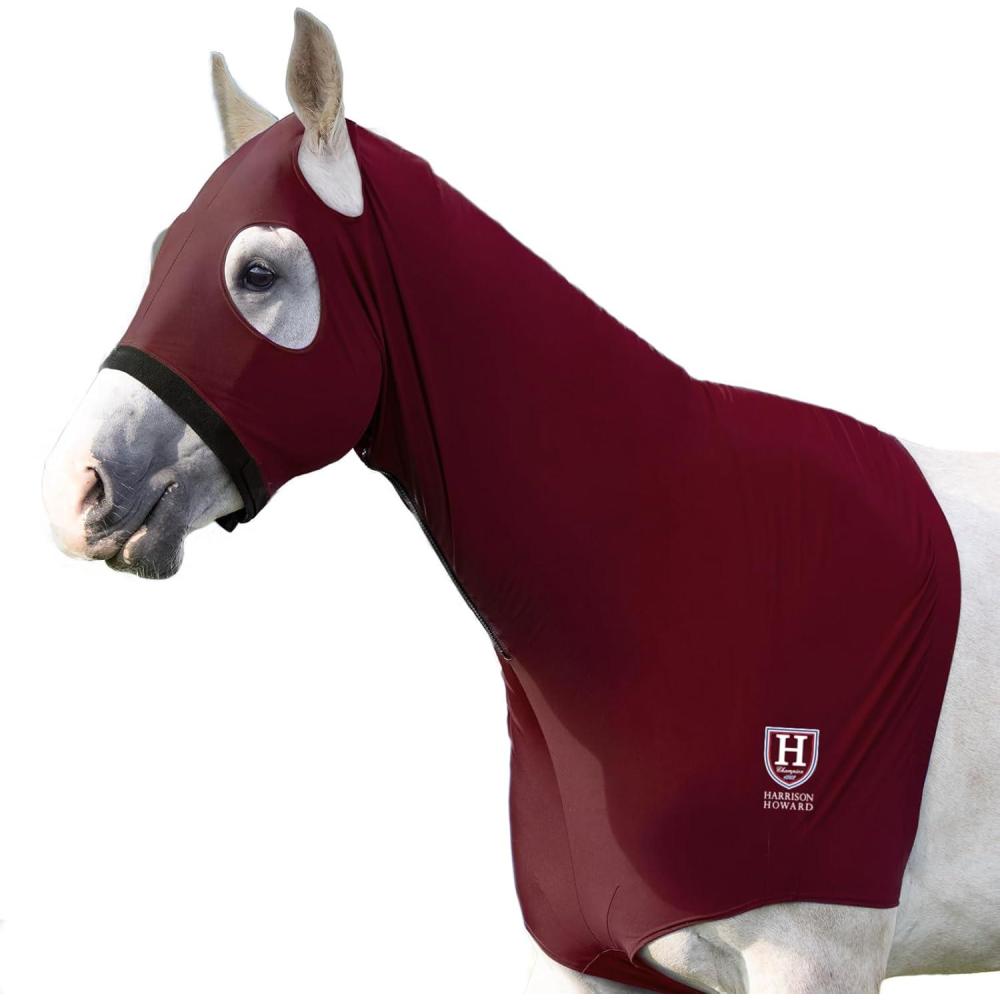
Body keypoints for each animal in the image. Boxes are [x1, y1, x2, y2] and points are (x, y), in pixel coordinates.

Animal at [41, 9, 1000, 993]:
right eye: (159, 253)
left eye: (258, 273)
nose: (76, 488)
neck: (674, 569)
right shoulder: (597, 963)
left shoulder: (814, 959)